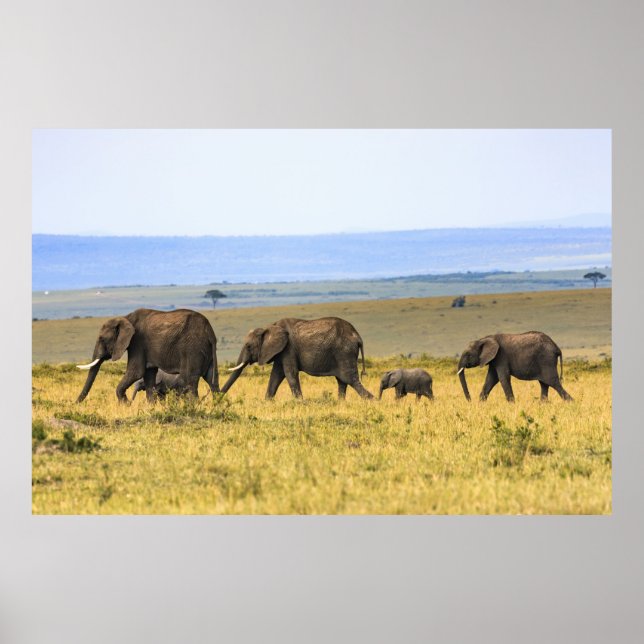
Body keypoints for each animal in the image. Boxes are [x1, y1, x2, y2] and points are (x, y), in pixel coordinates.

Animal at [76, 308, 219, 403]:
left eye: (102, 339)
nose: (76, 403)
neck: (126, 318)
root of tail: (210, 331)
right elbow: (149, 375)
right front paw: (151, 407)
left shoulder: (137, 342)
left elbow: (136, 372)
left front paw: (126, 405)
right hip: (206, 350)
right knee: (212, 379)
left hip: (192, 349)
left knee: (189, 380)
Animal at [221, 317, 374, 399]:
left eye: (248, 346)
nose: (217, 397)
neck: (269, 327)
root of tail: (358, 337)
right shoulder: (281, 351)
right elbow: (276, 375)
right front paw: (267, 402)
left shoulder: (288, 349)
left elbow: (290, 374)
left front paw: (300, 402)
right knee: (342, 381)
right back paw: (340, 403)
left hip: (344, 352)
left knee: (350, 379)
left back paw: (372, 400)